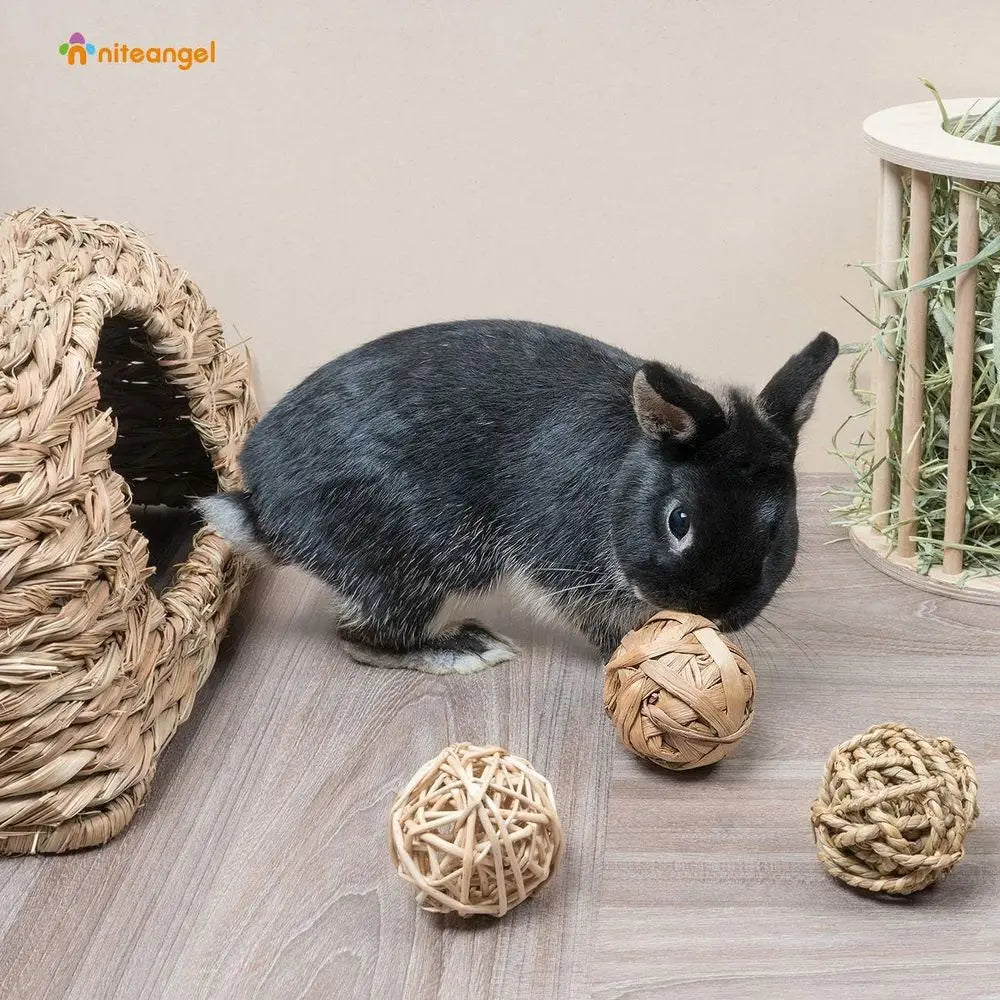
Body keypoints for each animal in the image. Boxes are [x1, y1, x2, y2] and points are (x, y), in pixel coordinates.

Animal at [198, 320, 838, 674]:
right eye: (678, 521)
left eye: (778, 532)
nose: (716, 613)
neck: (626, 468)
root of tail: (265, 509)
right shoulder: (566, 563)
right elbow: (595, 619)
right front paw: (635, 651)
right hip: (414, 559)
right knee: (361, 638)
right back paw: (464, 648)